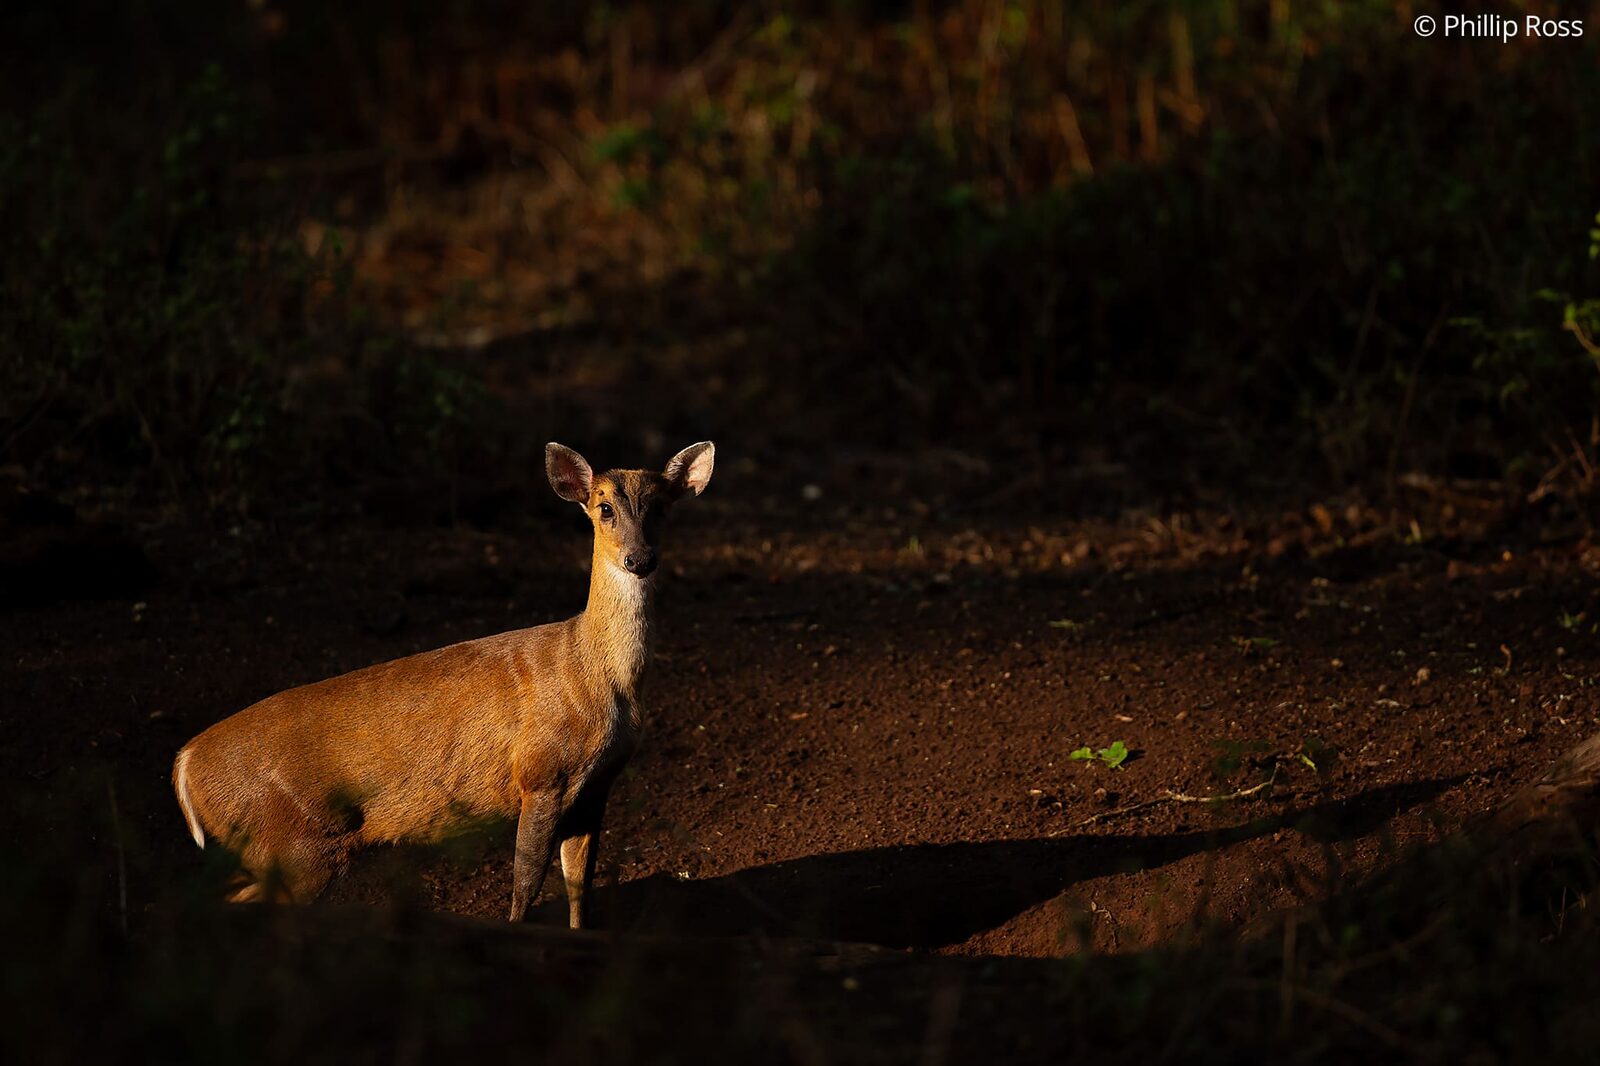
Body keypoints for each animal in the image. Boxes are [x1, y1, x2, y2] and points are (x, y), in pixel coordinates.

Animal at [171, 440, 714, 927]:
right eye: (604, 508)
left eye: (661, 509)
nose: (640, 559)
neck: (597, 675)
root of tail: (185, 766)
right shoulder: (541, 772)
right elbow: (525, 886)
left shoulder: (596, 786)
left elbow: (580, 888)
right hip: (294, 843)